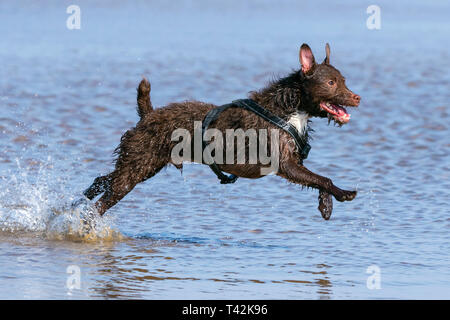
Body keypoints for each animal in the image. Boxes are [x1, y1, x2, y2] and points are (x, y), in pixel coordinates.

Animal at [83, 43, 358, 220]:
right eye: (331, 83)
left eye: (344, 81)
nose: (357, 97)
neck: (289, 108)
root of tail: (148, 115)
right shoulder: (284, 163)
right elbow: (322, 178)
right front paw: (344, 194)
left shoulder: (293, 161)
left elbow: (317, 179)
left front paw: (326, 206)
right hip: (137, 164)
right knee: (104, 201)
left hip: (143, 164)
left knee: (103, 180)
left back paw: (86, 195)